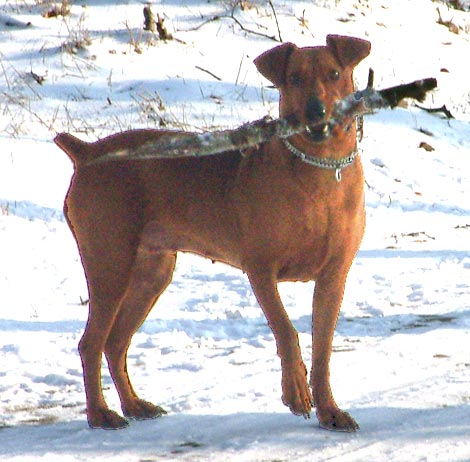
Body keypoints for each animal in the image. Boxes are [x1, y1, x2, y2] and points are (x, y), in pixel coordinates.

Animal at [54, 34, 370, 432]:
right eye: (294, 78)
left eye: (335, 74)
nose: (316, 112)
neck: (321, 170)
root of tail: (87, 151)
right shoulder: (260, 269)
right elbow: (287, 331)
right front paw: (296, 393)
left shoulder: (334, 276)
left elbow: (324, 348)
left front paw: (329, 411)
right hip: (110, 265)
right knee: (91, 342)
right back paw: (100, 414)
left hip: (152, 273)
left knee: (115, 342)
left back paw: (135, 405)